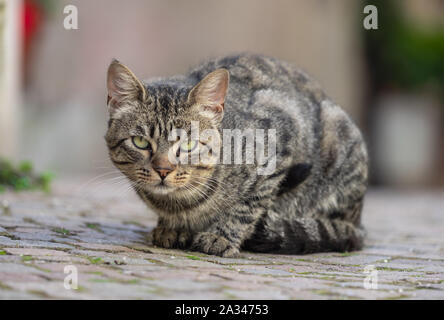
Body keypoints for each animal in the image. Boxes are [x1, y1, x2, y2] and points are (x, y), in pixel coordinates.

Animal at [104, 53, 368, 258]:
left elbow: (247, 206)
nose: (163, 169)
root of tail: (359, 219)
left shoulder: (280, 142)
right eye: (140, 142)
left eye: (188, 144)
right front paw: (172, 227)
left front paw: (219, 237)